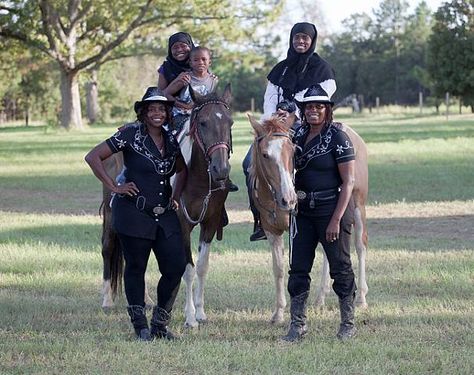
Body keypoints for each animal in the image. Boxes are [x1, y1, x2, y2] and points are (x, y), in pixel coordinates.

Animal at [250, 115, 368, 326]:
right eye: (264, 155)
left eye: (292, 152)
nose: (289, 199)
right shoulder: (272, 231)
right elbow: (279, 269)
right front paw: (278, 313)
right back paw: (321, 296)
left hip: (357, 207)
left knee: (361, 246)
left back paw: (361, 297)